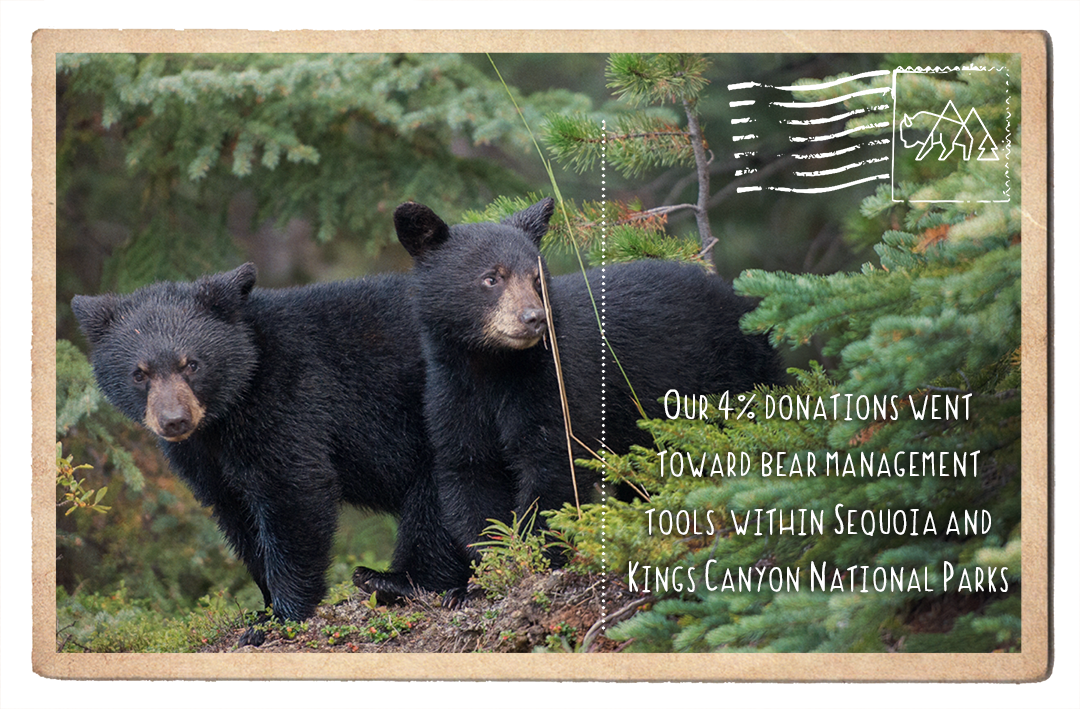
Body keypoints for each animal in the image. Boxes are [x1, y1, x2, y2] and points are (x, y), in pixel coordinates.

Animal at [71, 263, 471, 643]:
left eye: (192, 364)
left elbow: (292, 488)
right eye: (140, 373)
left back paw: (393, 581)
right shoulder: (202, 456)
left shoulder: (289, 397)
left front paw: (281, 614)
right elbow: (237, 513)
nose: (174, 421)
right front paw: (261, 606)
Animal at [394, 197, 784, 567]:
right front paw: (497, 555)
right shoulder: (452, 393)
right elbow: (469, 470)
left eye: (537, 279)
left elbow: (554, 465)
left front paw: (537, 552)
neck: (493, 366)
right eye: (492, 278)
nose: (534, 318)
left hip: (736, 378)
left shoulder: (557, 383)